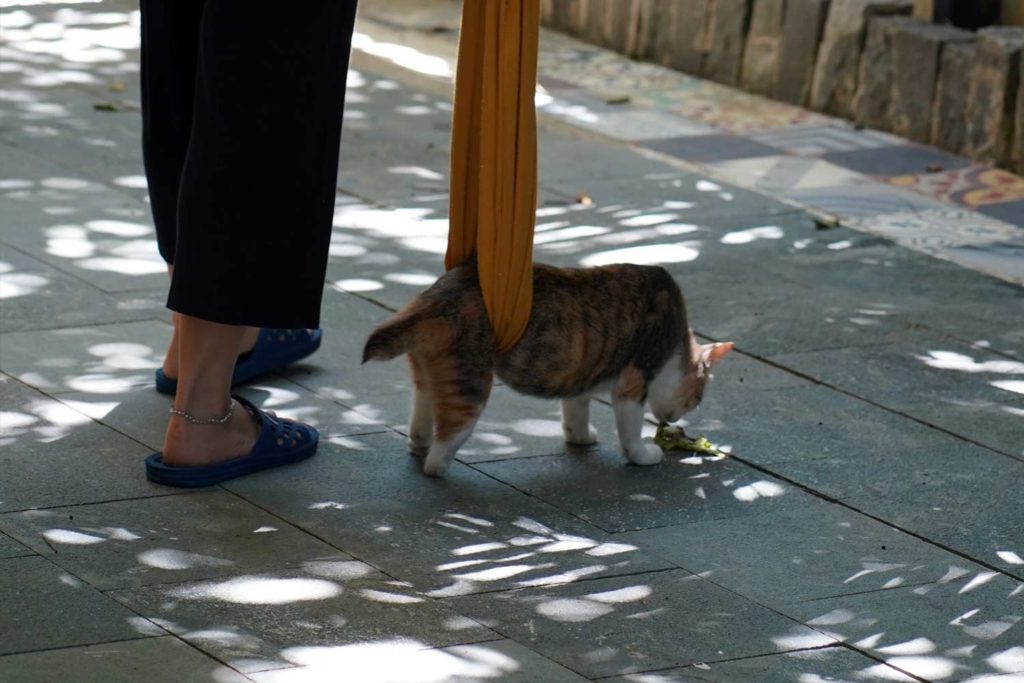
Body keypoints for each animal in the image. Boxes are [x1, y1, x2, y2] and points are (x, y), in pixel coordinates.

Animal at [364, 262, 733, 475]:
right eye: (697, 399)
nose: (674, 420)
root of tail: (436, 297)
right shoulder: (633, 382)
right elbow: (629, 431)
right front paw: (643, 455)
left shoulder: (581, 378)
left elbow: (574, 412)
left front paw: (581, 438)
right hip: (470, 386)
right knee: (441, 449)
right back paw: (439, 466)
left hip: (428, 375)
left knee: (421, 417)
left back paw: (419, 443)